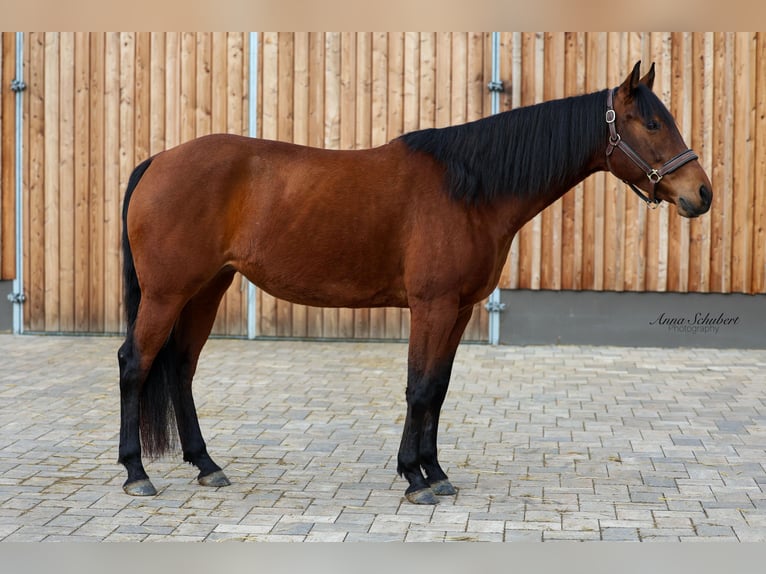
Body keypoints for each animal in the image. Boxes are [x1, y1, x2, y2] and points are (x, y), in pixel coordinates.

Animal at [118, 61, 712, 504]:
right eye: (653, 124)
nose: (701, 193)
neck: (469, 188)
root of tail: (159, 160)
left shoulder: (461, 309)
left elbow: (439, 389)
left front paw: (436, 473)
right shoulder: (432, 306)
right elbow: (419, 387)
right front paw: (414, 478)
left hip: (207, 290)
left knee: (181, 369)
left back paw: (207, 465)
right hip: (168, 294)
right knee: (135, 364)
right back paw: (136, 474)